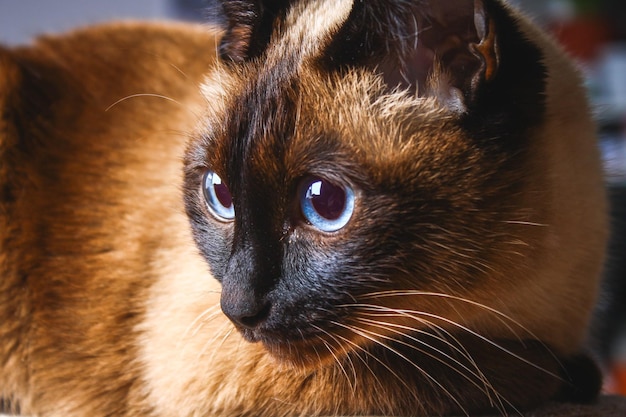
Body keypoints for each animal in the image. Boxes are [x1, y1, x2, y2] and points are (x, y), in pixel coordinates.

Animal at [0, 0, 604, 416]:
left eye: (324, 203)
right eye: (220, 195)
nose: (236, 309)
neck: (518, 306)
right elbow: (469, 373)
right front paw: (570, 373)